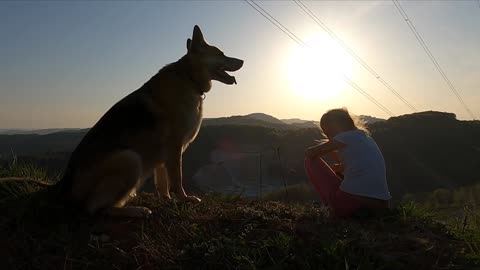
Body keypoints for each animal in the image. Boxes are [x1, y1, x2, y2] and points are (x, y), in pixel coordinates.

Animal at [57, 25, 244, 218]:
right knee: (96, 209)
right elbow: (177, 179)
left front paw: (167, 200)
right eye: (221, 54)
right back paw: (137, 210)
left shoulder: (164, 154)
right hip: (130, 158)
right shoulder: (174, 147)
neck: (188, 77)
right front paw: (184, 199)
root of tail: (65, 193)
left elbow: (162, 183)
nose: (243, 61)